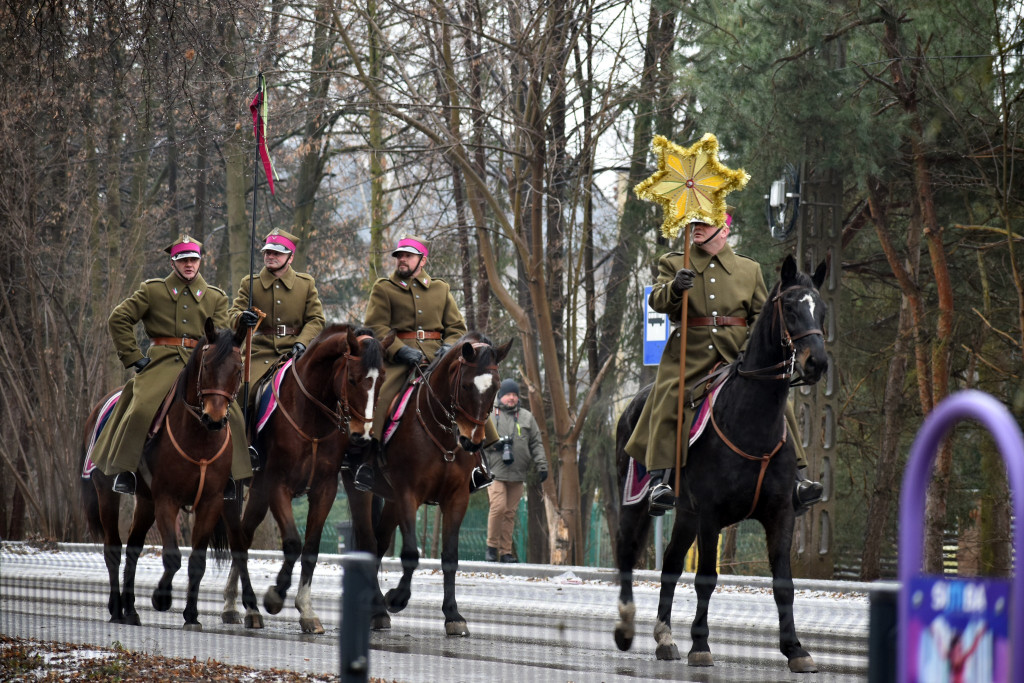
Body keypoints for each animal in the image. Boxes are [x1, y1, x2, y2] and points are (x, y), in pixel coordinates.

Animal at [81, 317, 262, 634]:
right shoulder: (168, 499)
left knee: (133, 548)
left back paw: (130, 610)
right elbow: (173, 556)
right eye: (206, 366)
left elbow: (197, 562)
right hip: (108, 495)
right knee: (113, 549)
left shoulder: (211, 502)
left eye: (238, 369)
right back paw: (116, 609)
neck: (199, 437)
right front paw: (161, 598)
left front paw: (191, 615)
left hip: (146, 501)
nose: (215, 419)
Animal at [222, 323, 393, 634]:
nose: (361, 437)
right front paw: (275, 596)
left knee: (245, 534)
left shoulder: (324, 489)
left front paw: (306, 610)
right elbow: (292, 542)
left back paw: (237, 604)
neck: (311, 414)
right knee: (238, 537)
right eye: (353, 379)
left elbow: (311, 548)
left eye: (382, 379)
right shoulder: (278, 485)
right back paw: (242, 606)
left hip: (258, 493)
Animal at [348, 333, 512, 638]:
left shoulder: (457, 499)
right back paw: (378, 610)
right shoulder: (408, 494)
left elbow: (450, 557)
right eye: (465, 384)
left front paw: (453, 615)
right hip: (360, 490)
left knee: (379, 543)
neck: (443, 434)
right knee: (368, 542)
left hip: (390, 500)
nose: (472, 442)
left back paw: (376, 608)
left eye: (495, 387)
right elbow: (411, 552)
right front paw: (397, 598)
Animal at [610, 254, 827, 671]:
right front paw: (701, 645)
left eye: (821, 308)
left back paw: (664, 638)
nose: (817, 363)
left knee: (670, 564)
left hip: (686, 514)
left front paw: (796, 648)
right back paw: (627, 629)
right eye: (791, 308)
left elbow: (784, 583)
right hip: (636, 504)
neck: (750, 419)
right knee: (627, 554)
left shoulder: (780, 512)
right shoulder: (711, 514)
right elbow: (706, 578)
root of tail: (633, 402)